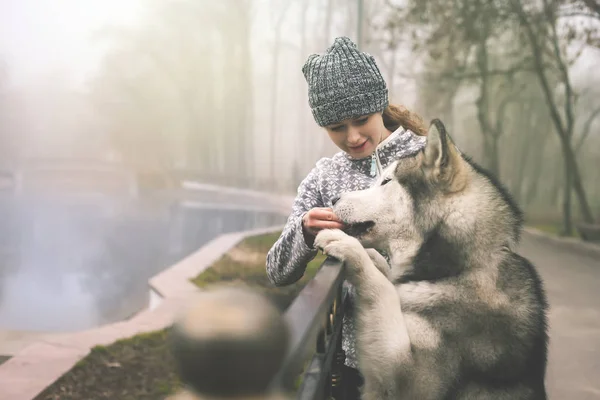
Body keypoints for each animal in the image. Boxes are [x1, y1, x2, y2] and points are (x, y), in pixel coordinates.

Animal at [314, 119, 548, 400]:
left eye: (386, 181)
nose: (334, 199)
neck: (456, 268)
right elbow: (388, 280)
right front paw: (372, 257)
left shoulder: (411, 381)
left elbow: (383, 290)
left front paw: (350, 248)